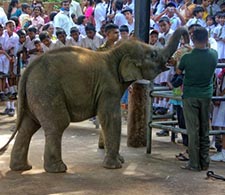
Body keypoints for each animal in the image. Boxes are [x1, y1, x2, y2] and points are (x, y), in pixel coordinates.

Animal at [0, 26, 188, 173]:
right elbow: (110, 117)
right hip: (46, 90)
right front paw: (115, 166)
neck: (114, 53)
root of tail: (28, 69)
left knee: (28, 127)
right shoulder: (108, 86)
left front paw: (119, 160)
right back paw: (58, 169)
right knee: (56, 124)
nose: (187, 37)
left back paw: (22, 168)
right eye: (153, 54)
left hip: (35, 94)